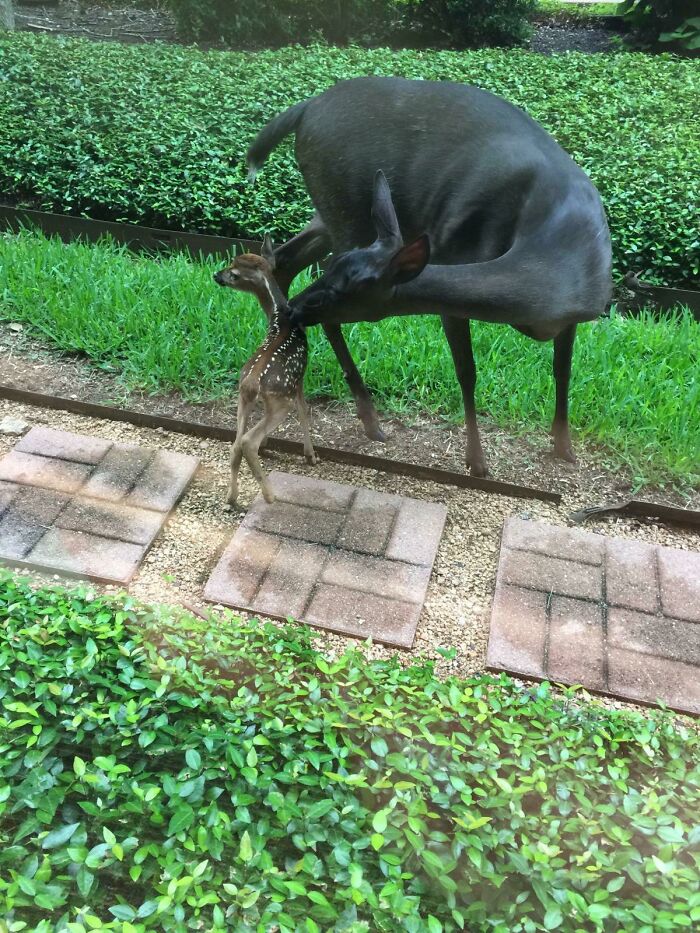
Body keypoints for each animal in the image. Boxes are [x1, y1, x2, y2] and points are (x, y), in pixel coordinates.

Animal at [213, 237, 317, 505]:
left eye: (234, 272)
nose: (216, 275)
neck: (281, 317)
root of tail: (252, 383)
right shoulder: (299, 379)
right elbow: (304, 411)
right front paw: (310, 455)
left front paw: (269, 444)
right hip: (280, 400)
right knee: (248, 441)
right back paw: (270, 496)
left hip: (243, 396)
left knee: (236, 443)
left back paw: (231, 497)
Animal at [246, 76, 613, 477]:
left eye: (345, 289)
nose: (297, 309)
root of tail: (305, 107)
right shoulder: (451, 261)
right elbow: (467, 371)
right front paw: (477, 461)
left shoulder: (571, 317)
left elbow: (563, 369)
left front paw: (565, 448)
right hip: (342, 203)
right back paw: (369, 417)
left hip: (333, 216)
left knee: (283, 260)